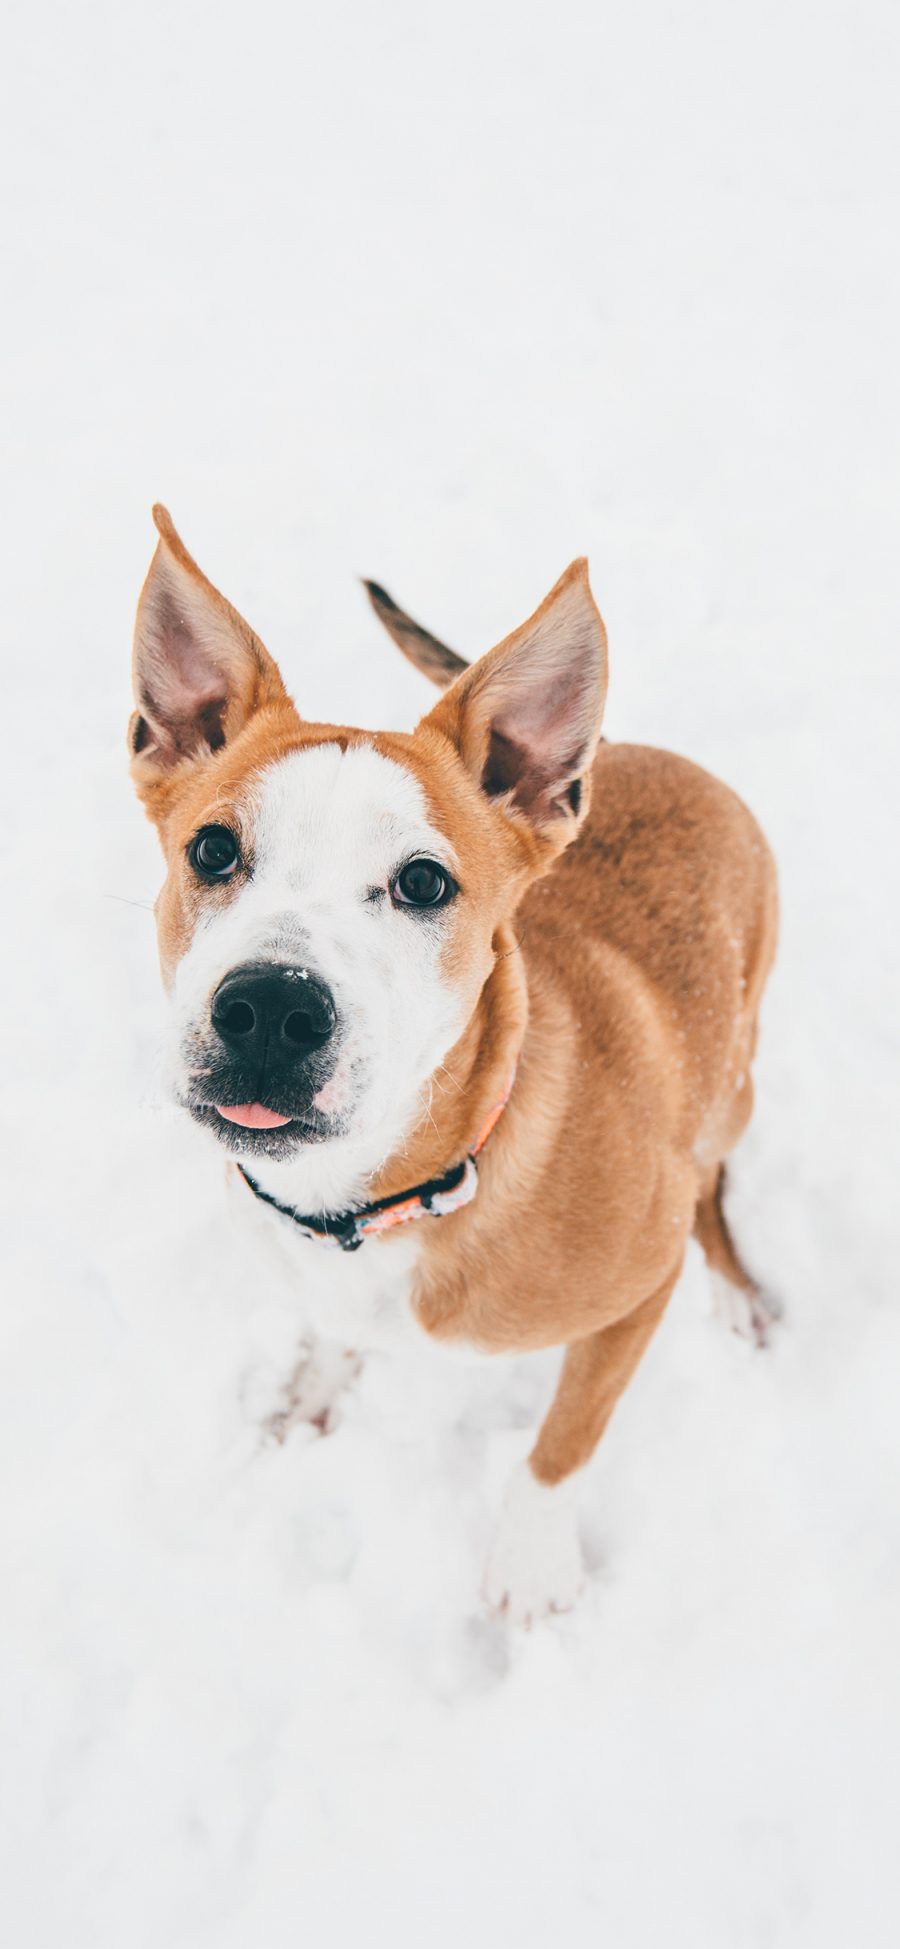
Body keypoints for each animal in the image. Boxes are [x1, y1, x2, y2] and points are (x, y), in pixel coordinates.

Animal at [128, 502, 779, 1613]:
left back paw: (736, 1290)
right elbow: (330, 1329)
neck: (383, 1193)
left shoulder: (637, 1293)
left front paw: (532, 1568)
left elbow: (561, 1444)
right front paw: (315, 1385)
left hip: (732, 1082)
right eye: (213, 849)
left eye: (424, 882)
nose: (270, 1008)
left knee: (713, 1182)